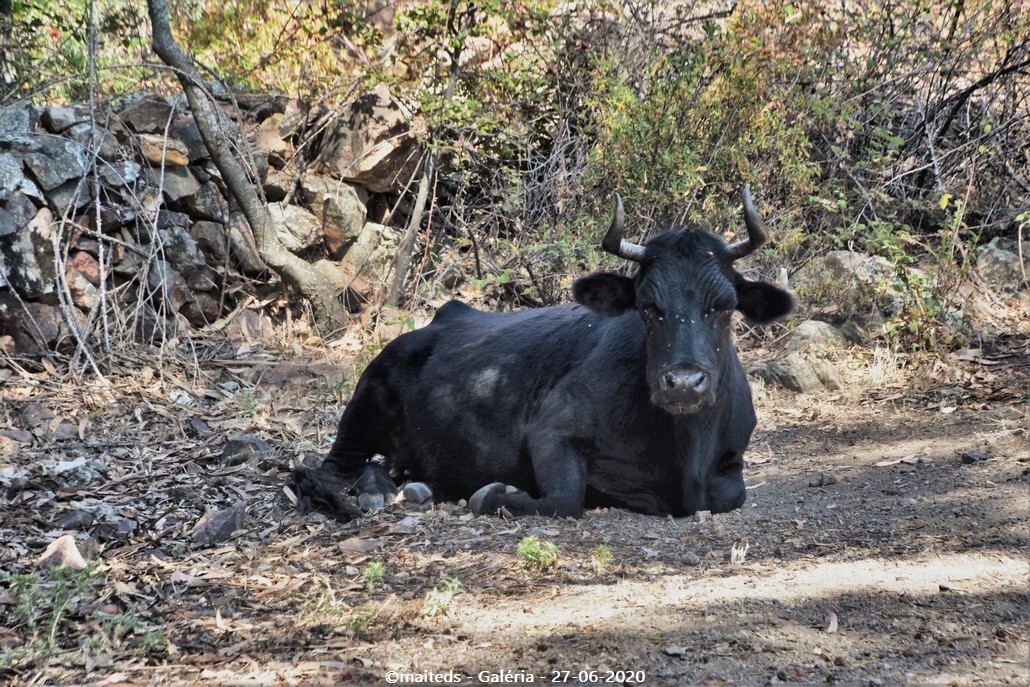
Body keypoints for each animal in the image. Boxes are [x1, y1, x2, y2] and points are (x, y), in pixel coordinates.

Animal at [294, 185, 791, 519]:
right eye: (648, 307)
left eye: (723, 305)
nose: (684, 383)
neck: (684, 449)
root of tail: (444, 316)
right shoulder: (551, 430)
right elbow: (565, 498)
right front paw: (491, 495)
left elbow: (731, 494)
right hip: (366, 400)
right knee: (327, 468)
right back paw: (365, 493)